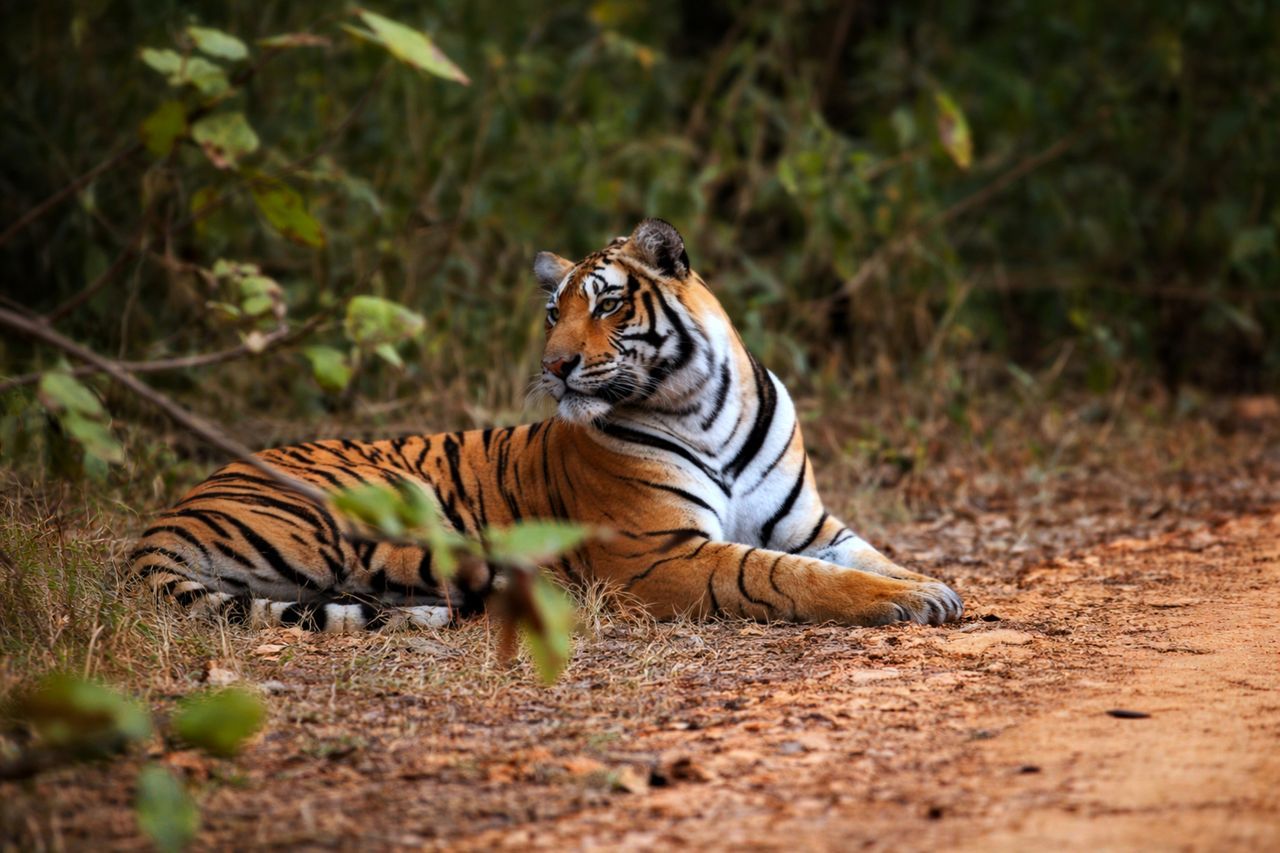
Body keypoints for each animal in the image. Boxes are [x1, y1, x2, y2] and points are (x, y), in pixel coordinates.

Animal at [130, 219, 962, 632]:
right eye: (551, 313)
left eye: (607, 304)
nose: (555, 365)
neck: (705, 407)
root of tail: (169, 513)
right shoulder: (660, 553)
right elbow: (784, 575)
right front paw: (902, 601)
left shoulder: (810, 523)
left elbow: (868, 555)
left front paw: (931, 585)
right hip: (378, 506)